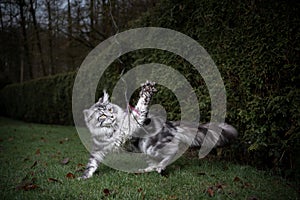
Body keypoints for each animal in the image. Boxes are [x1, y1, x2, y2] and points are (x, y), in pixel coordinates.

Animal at [80, 80, 239, 179]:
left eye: (110, 109)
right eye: (102, 115)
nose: (112, 116)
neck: (112, 130)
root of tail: (170, 125)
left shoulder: (134, 122)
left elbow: (140, 106)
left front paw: (146, 92)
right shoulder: (99, 149)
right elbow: (92, 163)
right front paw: (85, 176)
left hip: (151, 147)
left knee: (172, 152)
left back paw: (160, 167)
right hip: (145, 151)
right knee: (155, 162)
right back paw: (146, 170)